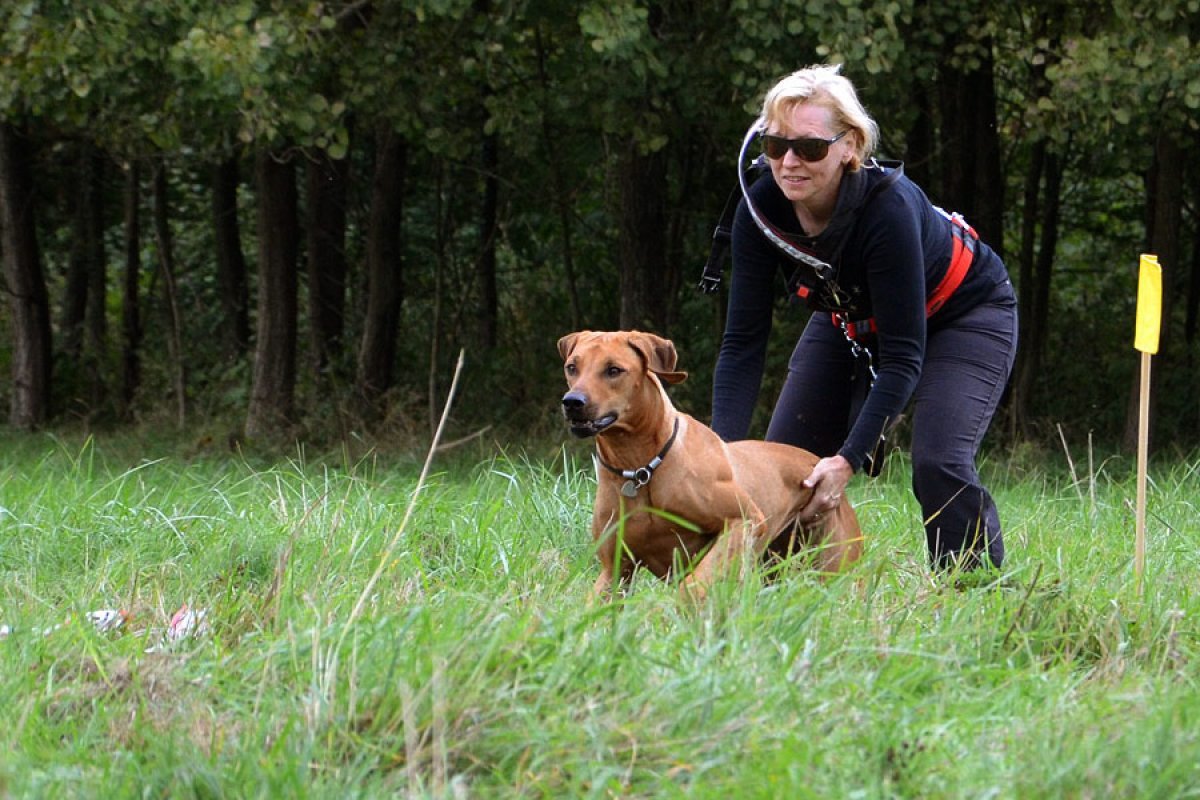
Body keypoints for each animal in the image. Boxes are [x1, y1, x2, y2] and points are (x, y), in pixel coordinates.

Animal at [561, 331, 864, 599]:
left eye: (613, 370)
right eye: (572, 367)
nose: (572, 401)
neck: (641, 468)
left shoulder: (744, 520)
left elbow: (693, 584)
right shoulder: (615, 570)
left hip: (836, 566)